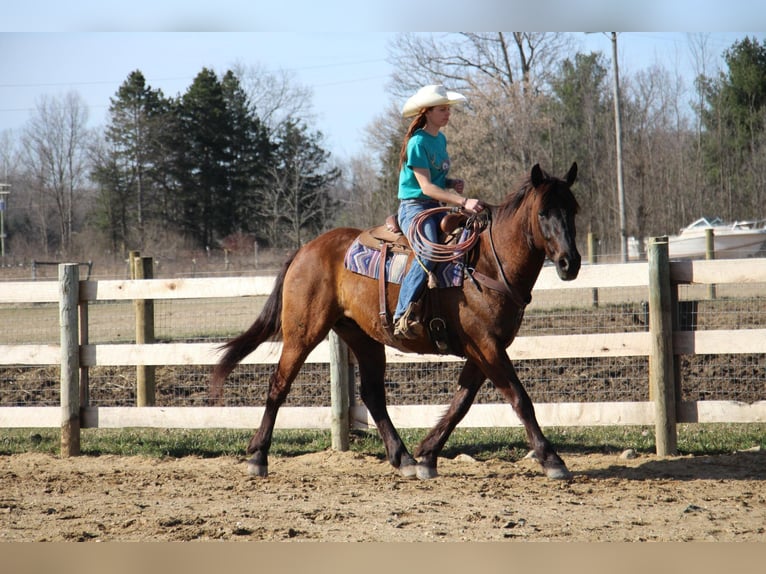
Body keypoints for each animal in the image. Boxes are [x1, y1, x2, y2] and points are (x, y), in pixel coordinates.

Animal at [210, 164, 584, 484]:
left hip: (363, 337)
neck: (487, 264)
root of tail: (305, 250)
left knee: (373, 395)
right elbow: (520, 399)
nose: (570, 263)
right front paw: (553, 460)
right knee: (279, 384)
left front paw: (427, 455)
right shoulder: (486, 345)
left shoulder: (485, 348)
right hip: (303, 333)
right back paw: (258, 457)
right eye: (543, 212)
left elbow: (461, 403)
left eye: (573, 210)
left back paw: (402, 457)